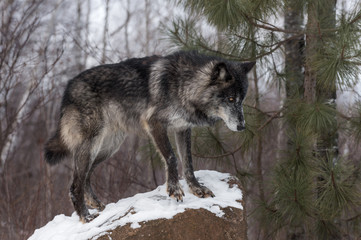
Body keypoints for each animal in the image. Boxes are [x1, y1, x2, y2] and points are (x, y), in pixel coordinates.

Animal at [44, 51, 253, 223]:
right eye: (230, 99)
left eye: (241, 100)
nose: (242, 126)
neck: (184, 84)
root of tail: (68, 88)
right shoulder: (155, 124)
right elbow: (171, 157)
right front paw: (174, 189)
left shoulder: (182, 128)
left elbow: (188, 163)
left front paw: (196, 188)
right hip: (91, 147)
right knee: (74, 185)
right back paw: (86, 217)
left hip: (108, 148)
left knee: (87, 176)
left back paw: (96, 204)